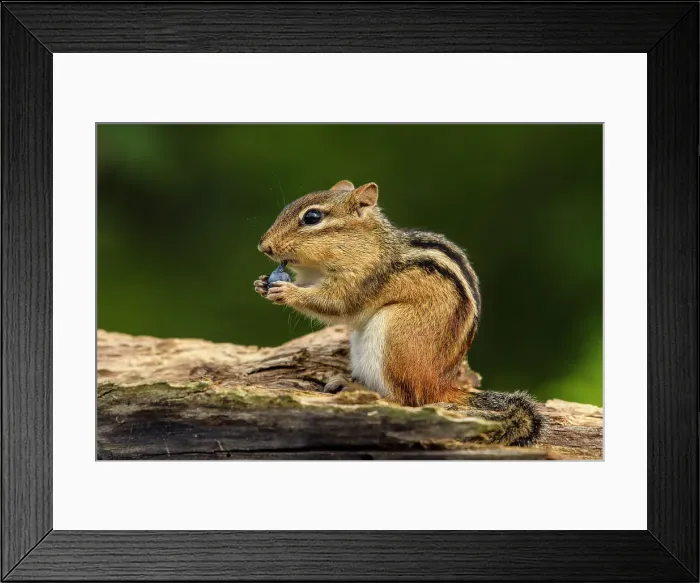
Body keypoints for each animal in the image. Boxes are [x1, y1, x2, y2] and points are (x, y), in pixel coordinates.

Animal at [254, 180, 544, 445]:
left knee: (407, 400)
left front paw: (288, 293)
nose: (263, 246)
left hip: (394, 333)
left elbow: (337, 304)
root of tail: (441, 385)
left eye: (312, 217)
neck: (369, 246)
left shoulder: (364, 279)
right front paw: (261, 283)